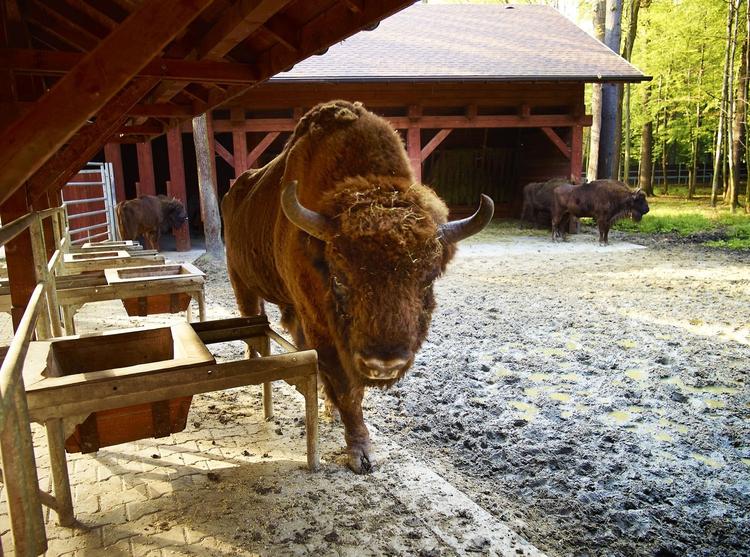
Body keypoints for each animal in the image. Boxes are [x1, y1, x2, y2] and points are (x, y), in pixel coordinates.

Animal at [222, 100, 494, 473]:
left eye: (427, 278)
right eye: (339, 278)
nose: (385, 364)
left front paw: (335, 414)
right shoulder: (323, 329)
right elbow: (347, 387)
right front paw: (360, 453)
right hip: (242, 282)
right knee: (252, 327)